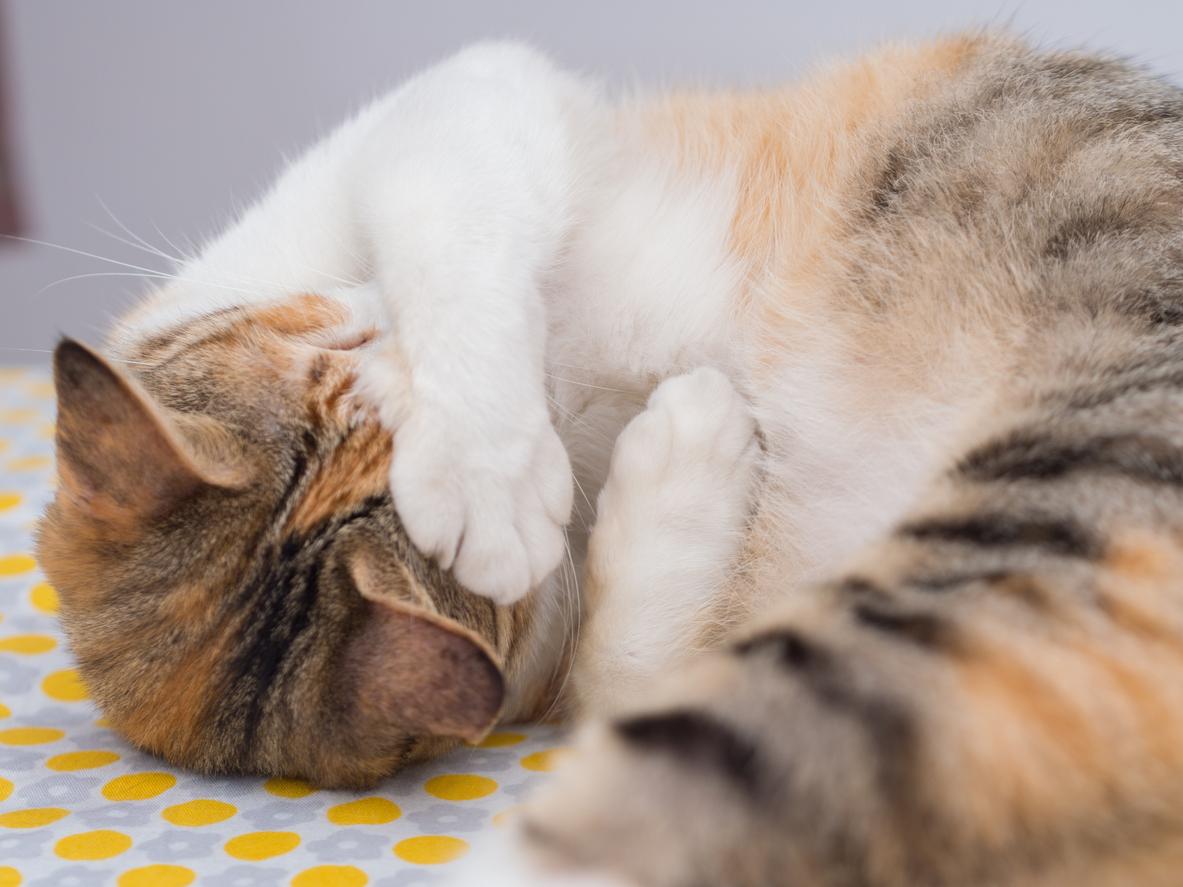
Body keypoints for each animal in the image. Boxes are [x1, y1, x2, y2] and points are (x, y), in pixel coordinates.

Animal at [36, 29, 1183, 887]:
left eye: (344, 342)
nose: (526, 401)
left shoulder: (459, 109)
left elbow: (453, 215)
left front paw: (486, 468)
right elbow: (617, 668)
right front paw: (686, 447)